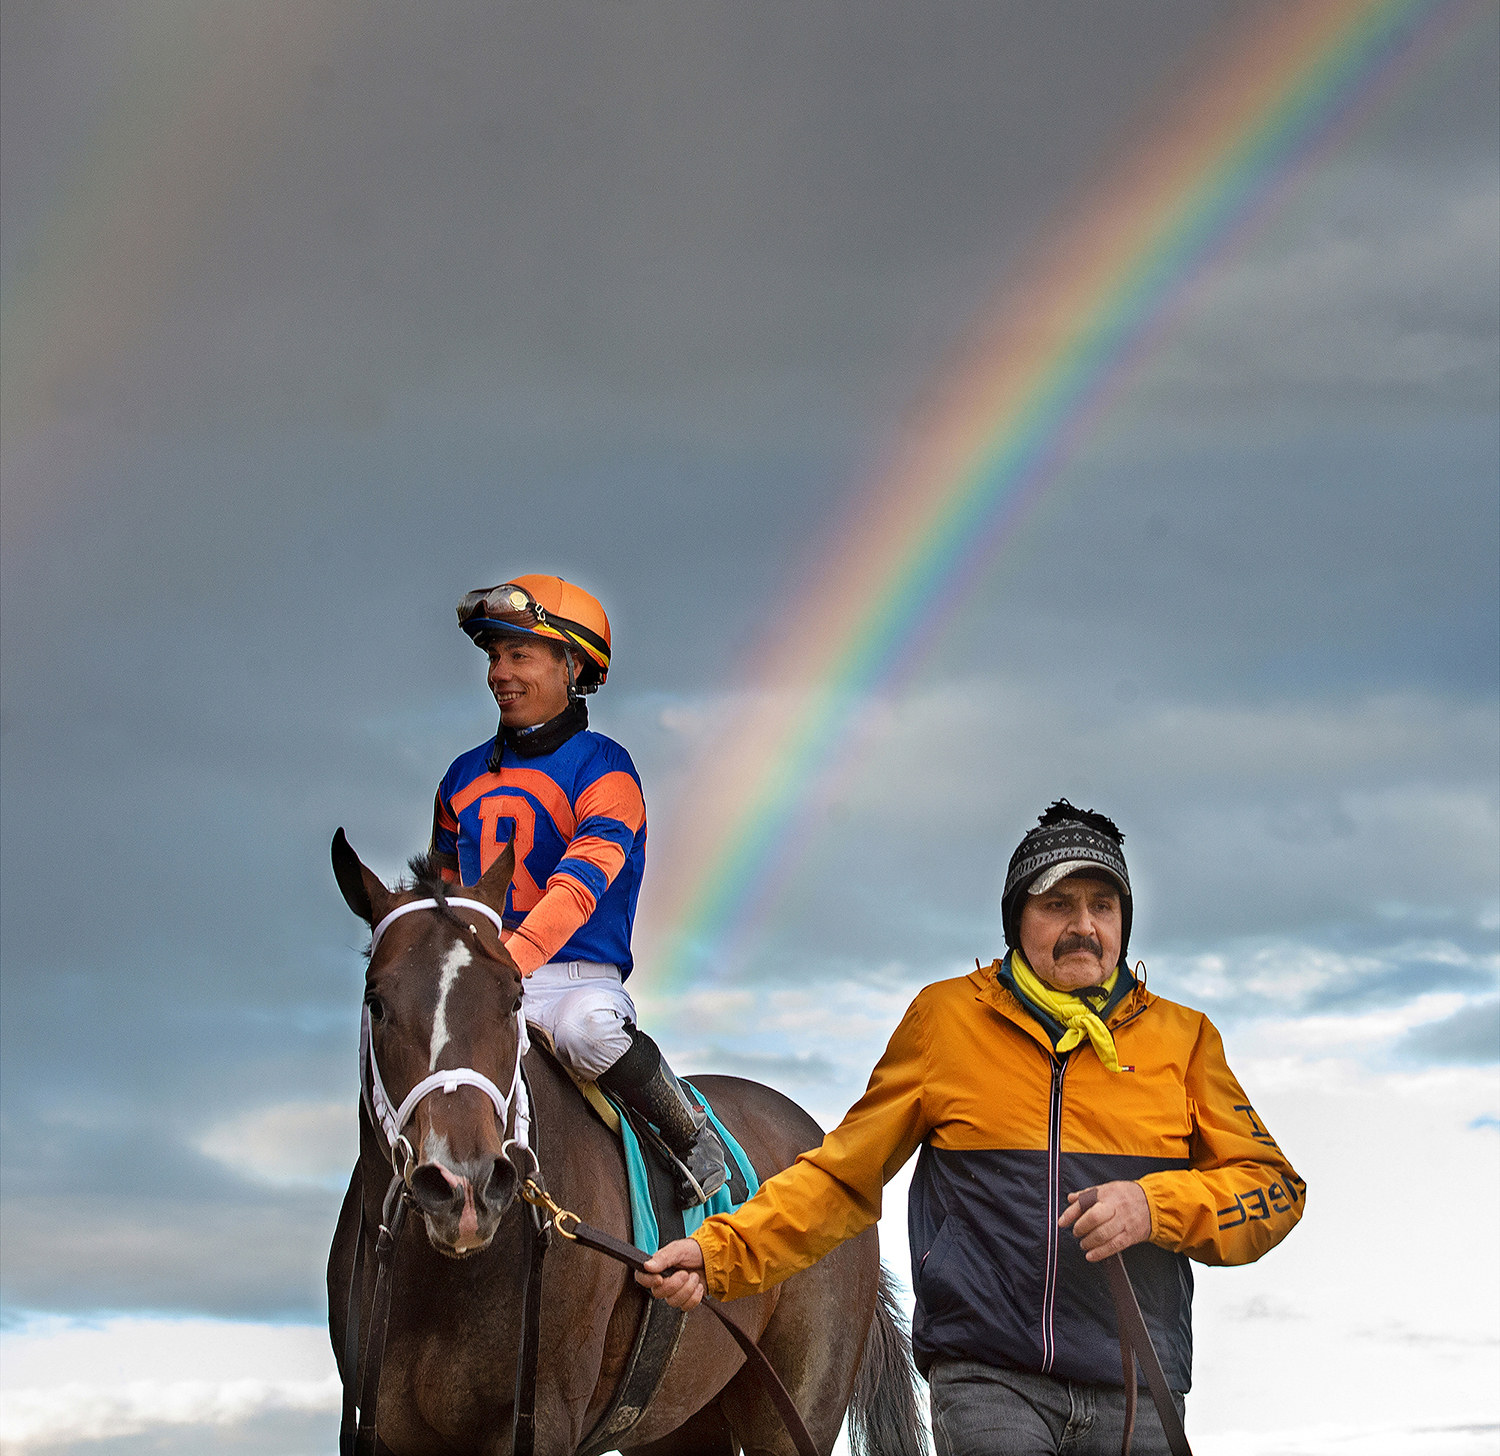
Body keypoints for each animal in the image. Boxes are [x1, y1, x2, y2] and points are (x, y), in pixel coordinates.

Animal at [325, 833, 924, 1456]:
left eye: (513, 997)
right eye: (376, 1001)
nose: (464, 1186)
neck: (441, 1285)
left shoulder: (542, 1419)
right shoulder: (377, 1426)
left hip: (792, 1410)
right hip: (683, 1421)